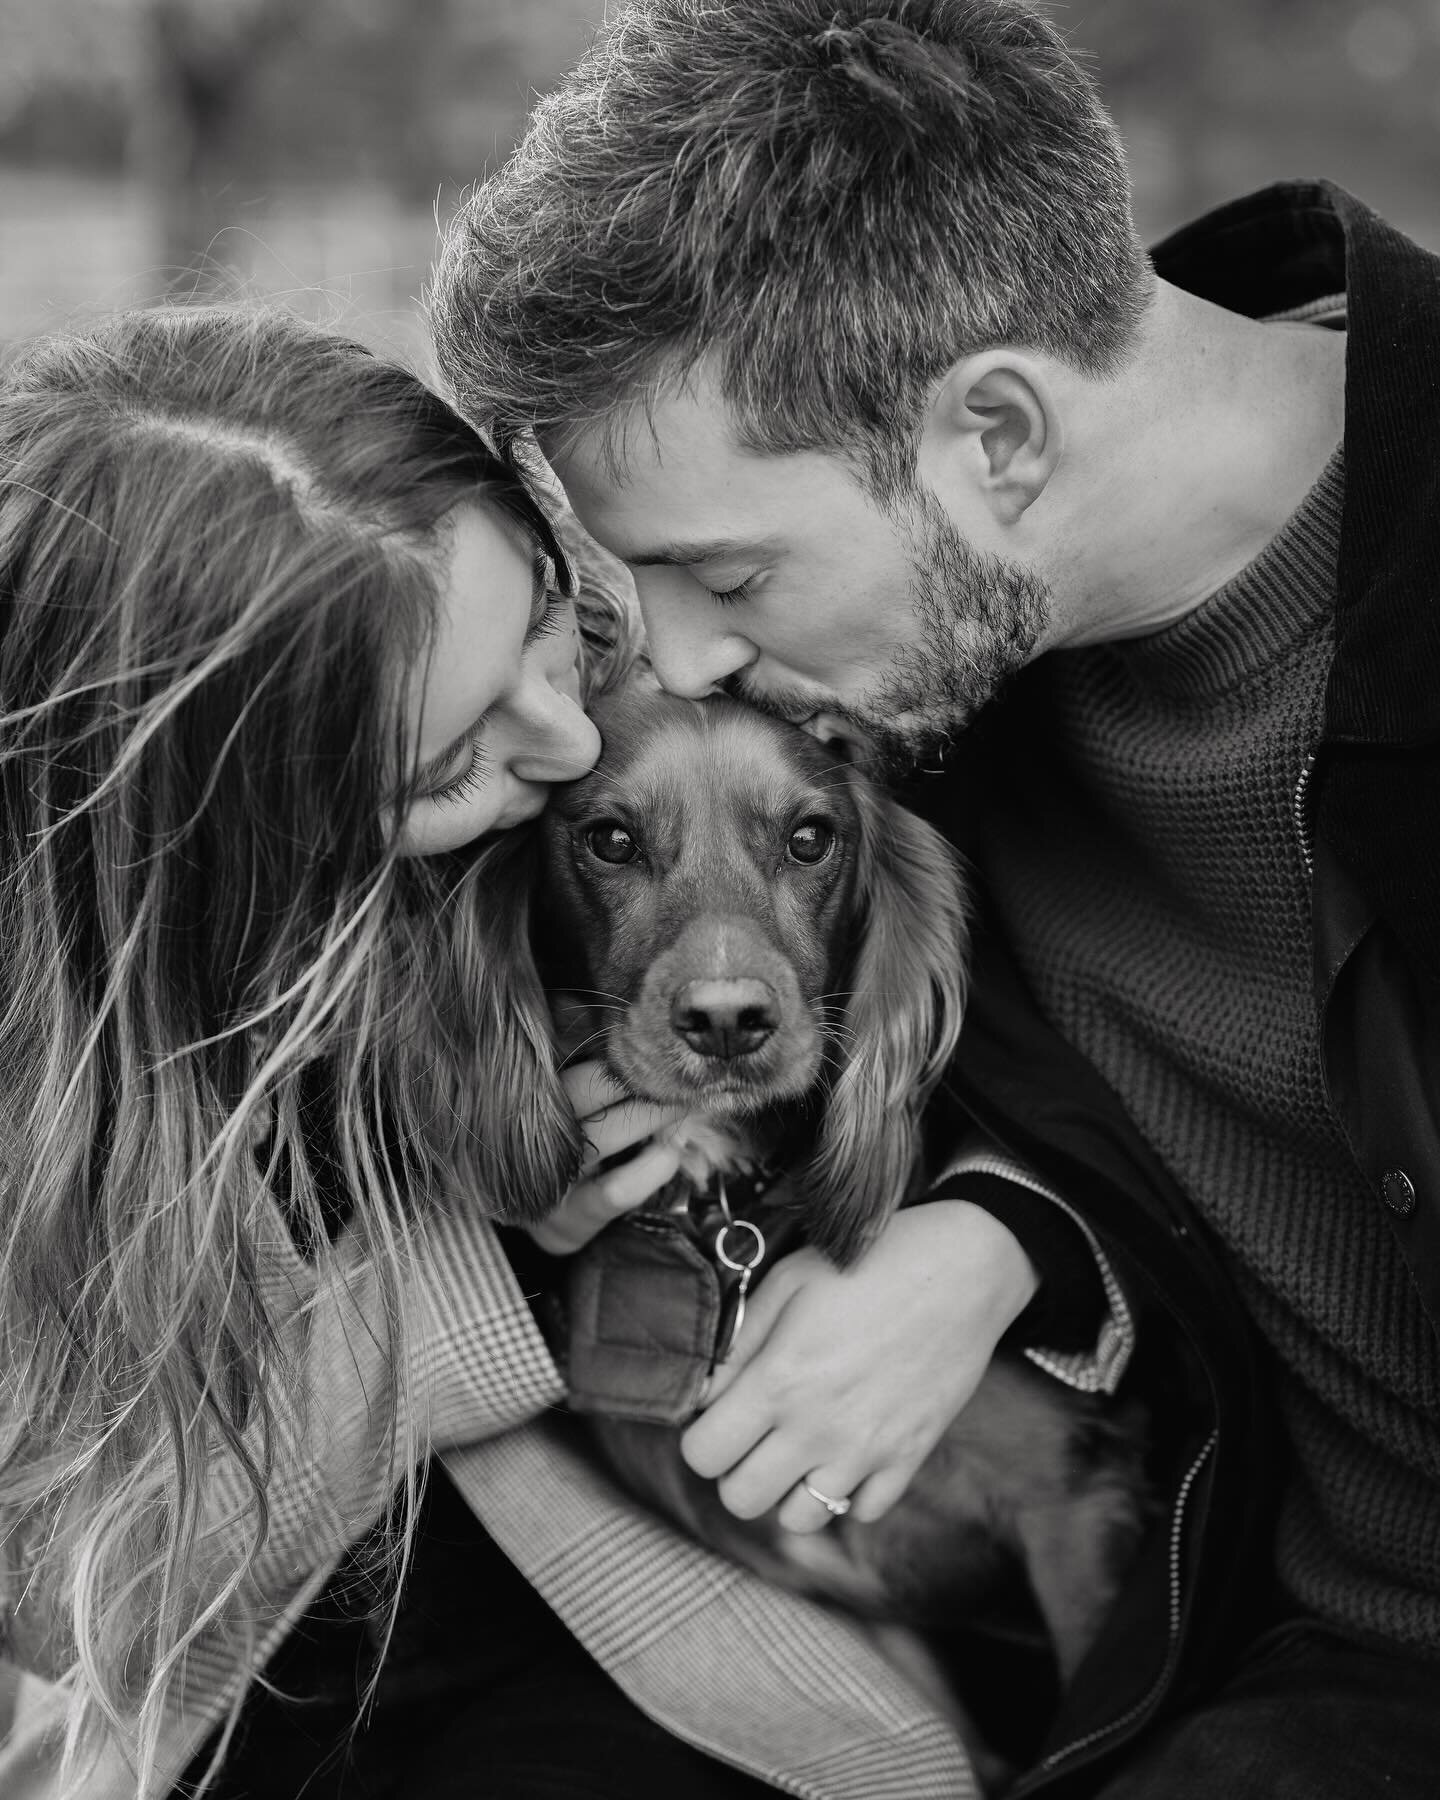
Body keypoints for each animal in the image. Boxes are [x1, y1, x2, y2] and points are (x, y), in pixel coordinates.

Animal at [529, 684, 1144, 1742]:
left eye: (810, 839)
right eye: (609, 839)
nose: (728, 1022)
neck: (730, 1207)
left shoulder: (1073, 1502)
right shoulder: (863, 1609)